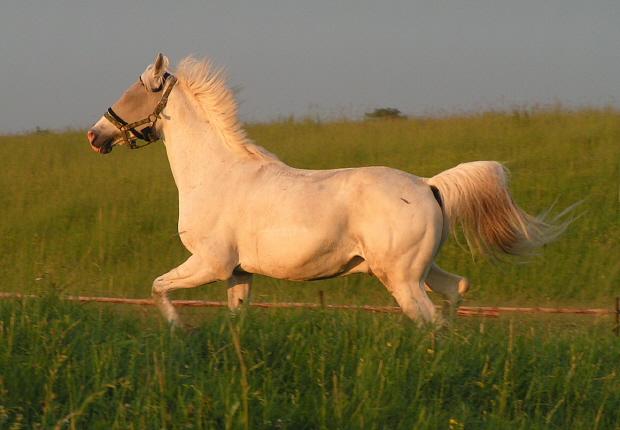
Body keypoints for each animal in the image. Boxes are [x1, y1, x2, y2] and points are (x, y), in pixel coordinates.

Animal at [87, 53, 572, 326]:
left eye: (132, 93)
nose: (95, 136)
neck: (216, 175)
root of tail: (429, 185)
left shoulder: (211, 263)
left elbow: (158, 288)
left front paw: (178, 331)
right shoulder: (239, 273)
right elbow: (236, 319)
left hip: (401, 278)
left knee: (429, 318)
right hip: (420, 269)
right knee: (456, 290)